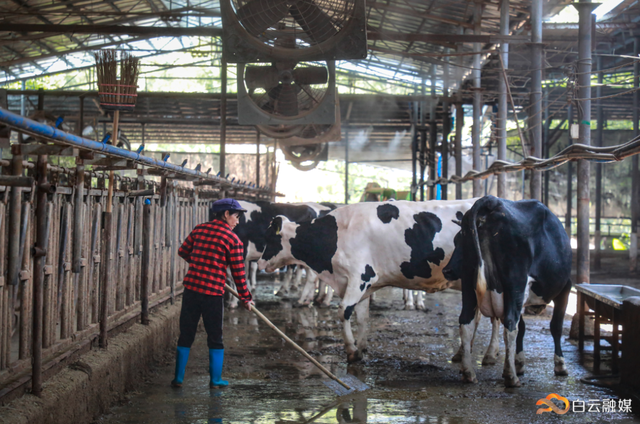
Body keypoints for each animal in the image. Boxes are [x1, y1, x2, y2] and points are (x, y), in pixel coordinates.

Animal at [258, 198, 502, 362]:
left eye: (270, 237)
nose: (259, 263)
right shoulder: (363, 284)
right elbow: (362, 316)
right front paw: (362, 347)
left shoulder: (360, 277)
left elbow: (344, 311)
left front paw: (351, 350)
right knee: (479, 317)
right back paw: (464, 352)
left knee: (495, 317)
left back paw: (489, 355)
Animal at [442, 195, 572, 388]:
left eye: (458, 242)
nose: (447, 270)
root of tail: (490, 201)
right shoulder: (565, 288)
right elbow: (555, 326)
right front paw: (560, 365)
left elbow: (523, 327)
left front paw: (519, 362)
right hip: (514, 282)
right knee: (510, 323)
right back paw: (511, 376)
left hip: (469, 281)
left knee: (466, 321)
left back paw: (468, 372)